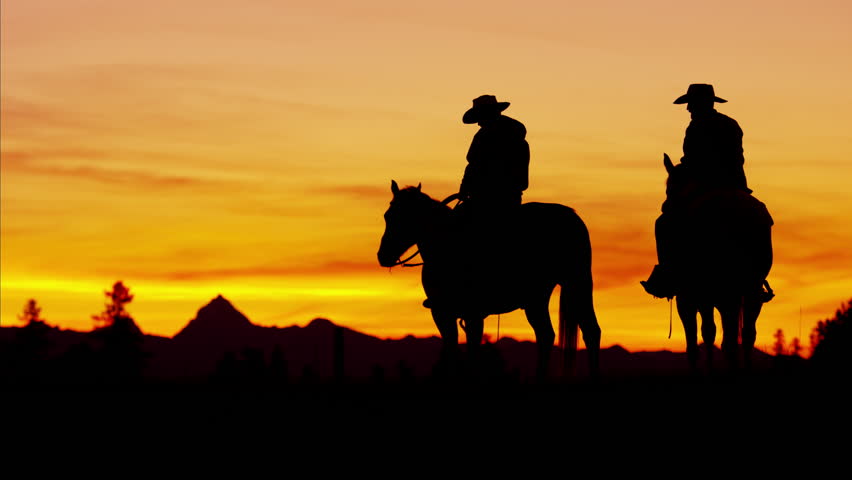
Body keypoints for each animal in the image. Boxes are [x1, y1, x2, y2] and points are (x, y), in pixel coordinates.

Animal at [376, 180, 604, 382]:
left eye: (407, 218)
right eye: (387, 216)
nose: (383, 255)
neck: (447, 246)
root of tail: (572, 217)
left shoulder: (472, 313)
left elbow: (472, 351)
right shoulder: (442, 313)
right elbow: (451, 349)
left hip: (578, 283)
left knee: (591, 331)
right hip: (536, 298)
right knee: (546, 335)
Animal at [656, 154, 776, 372]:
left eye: (669, 188)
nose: (664, 206)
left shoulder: (689, 297)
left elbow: (697, 340)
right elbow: (710, 333)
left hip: (726, 292)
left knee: (729, 341)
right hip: (751, 290)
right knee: (747, 336)